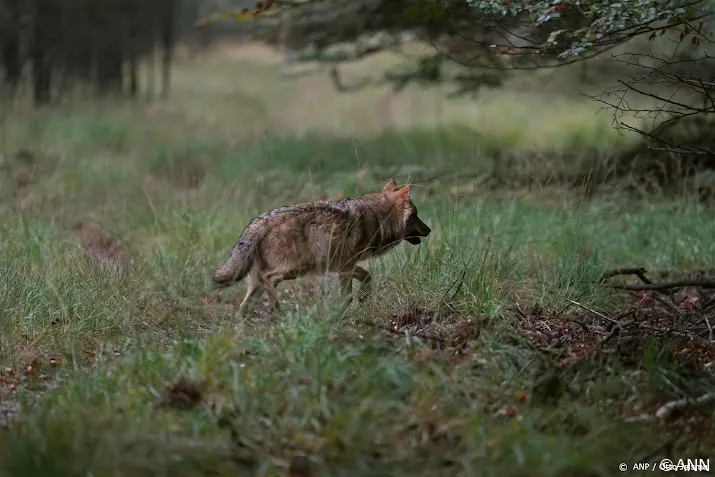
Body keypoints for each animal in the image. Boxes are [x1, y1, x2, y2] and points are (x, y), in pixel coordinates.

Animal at [213, 178, 434, 316]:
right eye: (416, 215)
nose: (430, 230)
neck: (377, 219)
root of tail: (259, 222)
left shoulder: (345, 266)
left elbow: (367, 277)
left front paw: (362, 298)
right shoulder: (344, 268)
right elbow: (349, 294)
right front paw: (344, 312)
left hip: (260, 282)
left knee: (242, 308)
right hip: (295, 269)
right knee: (270, 281)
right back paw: (277, 312)